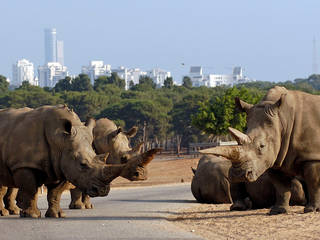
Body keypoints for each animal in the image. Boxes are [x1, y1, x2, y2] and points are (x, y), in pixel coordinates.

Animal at [201, 87, 320, 215]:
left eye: (262, 146)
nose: (239, 175)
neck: (282, 120)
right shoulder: (275, 158)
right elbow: (281, 186)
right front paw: (278, 210)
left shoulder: (312, 156)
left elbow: (313, 183)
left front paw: (312, 210)